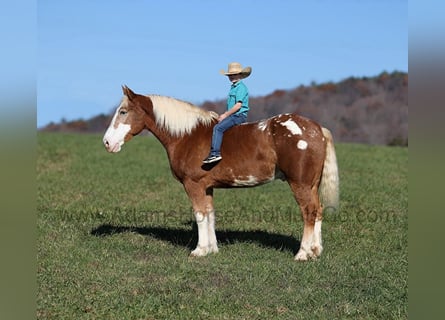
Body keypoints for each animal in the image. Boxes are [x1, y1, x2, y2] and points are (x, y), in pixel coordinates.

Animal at [102, 86, 338, 262]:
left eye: (123, 112)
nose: (106, 143)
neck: (187, 135)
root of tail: (317, 128)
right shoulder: (206, 187)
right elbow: (209, 214)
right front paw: (211, 249)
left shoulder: (193, 185)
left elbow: (199, 214)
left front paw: (198, 250)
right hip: (312, 185)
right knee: (318, 211)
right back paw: (316, 251)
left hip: (300, 184)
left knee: (309, 212)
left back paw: (302, 254)